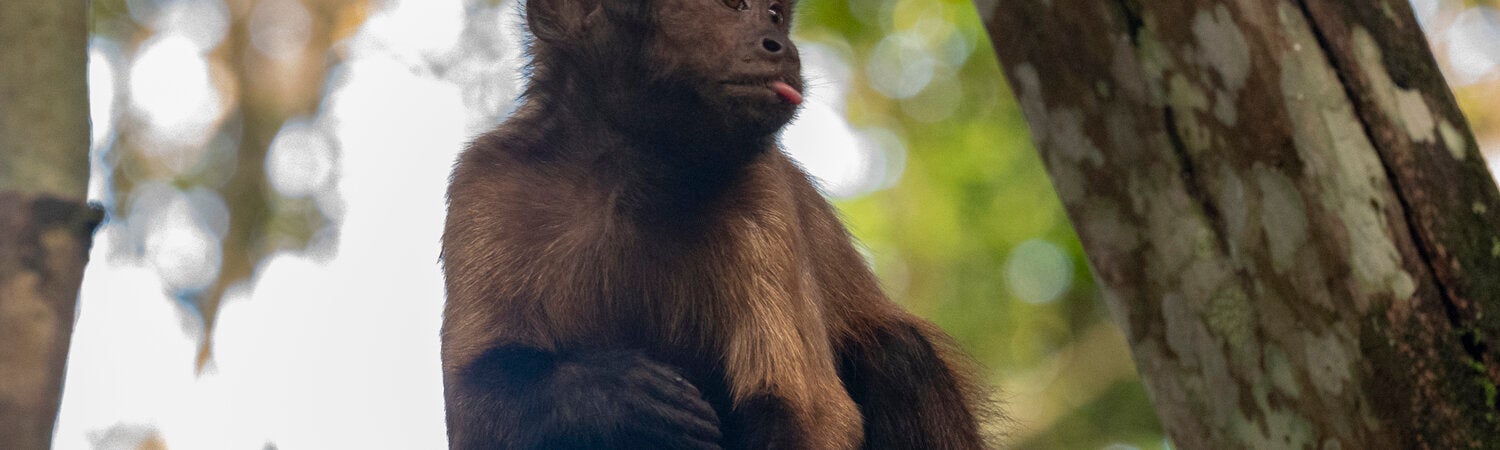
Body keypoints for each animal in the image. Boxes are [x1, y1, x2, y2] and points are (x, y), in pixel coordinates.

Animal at [439, 0, 994, 448]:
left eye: (773, 13)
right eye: (734, 4)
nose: (780, 44)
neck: (634, 167)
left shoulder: (761, 194)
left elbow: (807, 415)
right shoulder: (488, 183)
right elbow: (472, 410)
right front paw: (611, 398)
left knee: (898, 356)